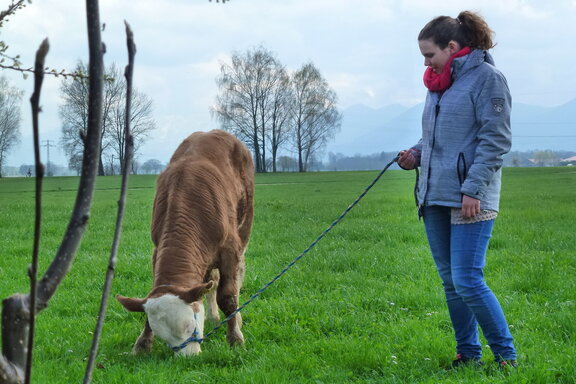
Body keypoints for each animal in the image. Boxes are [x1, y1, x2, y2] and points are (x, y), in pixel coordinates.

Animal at [116, 130, 253, 356]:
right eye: (163, 336)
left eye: (190, 325)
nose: (188, 357)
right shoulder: (157, 249)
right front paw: (142, 343)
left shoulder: (229, 249)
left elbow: (228, 295)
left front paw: (235, 339)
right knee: (212, 280)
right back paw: (214, 315)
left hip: (245, 225)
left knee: (237, 274)